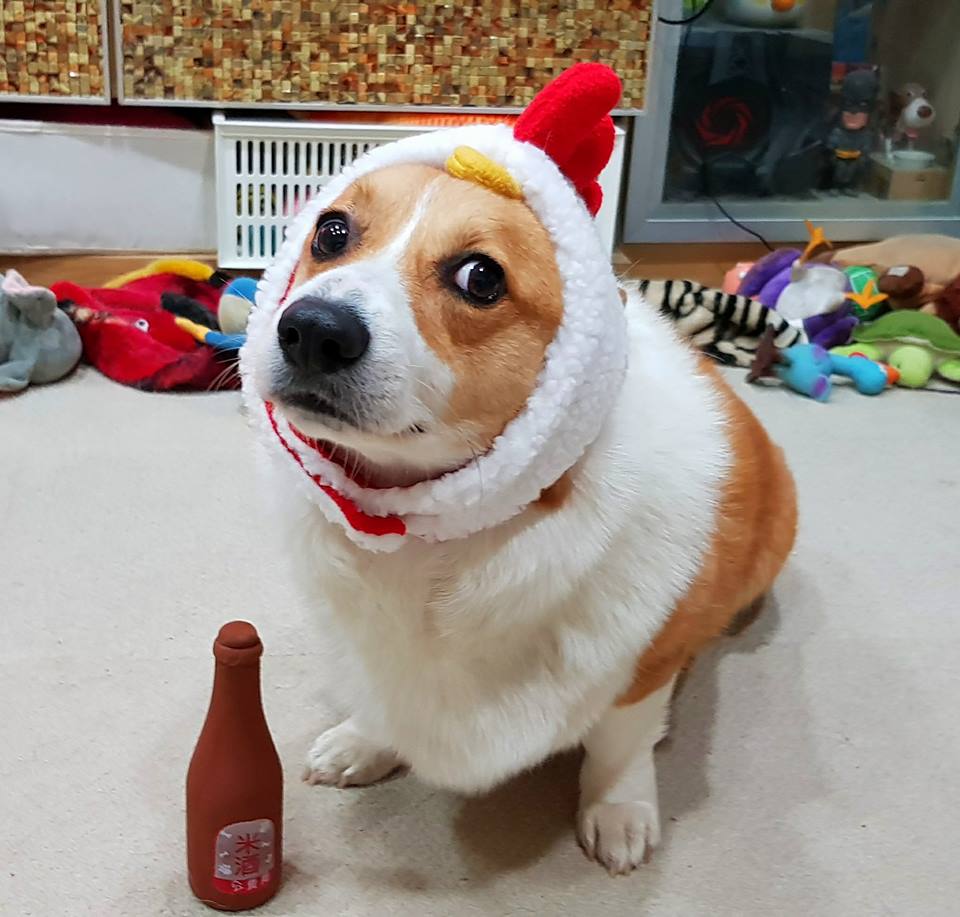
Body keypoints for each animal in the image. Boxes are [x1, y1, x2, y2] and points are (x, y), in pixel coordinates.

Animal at [240, 64, 797, 875]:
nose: (311, 330)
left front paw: (618, 810)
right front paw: (364, 743)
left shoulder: (644, 663)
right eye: (331, 230)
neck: (418, 530)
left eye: (481, 277)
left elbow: (619, 743)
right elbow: (385, 702)